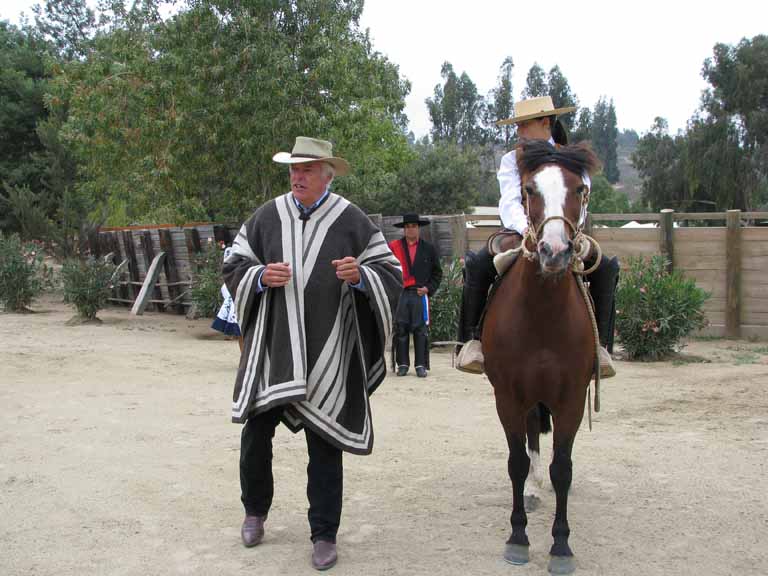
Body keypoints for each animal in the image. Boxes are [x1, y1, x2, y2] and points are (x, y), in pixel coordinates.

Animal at [486, 141, 600, 576]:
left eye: (579, 189)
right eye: (529, 189)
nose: (554, 251)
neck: (542, 317)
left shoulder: (570, 399)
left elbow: (562, 468)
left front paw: (561, 546)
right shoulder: (507, 397)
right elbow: (516, 462)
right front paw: (518, 538)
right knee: (531, 434)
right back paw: (533, 490)